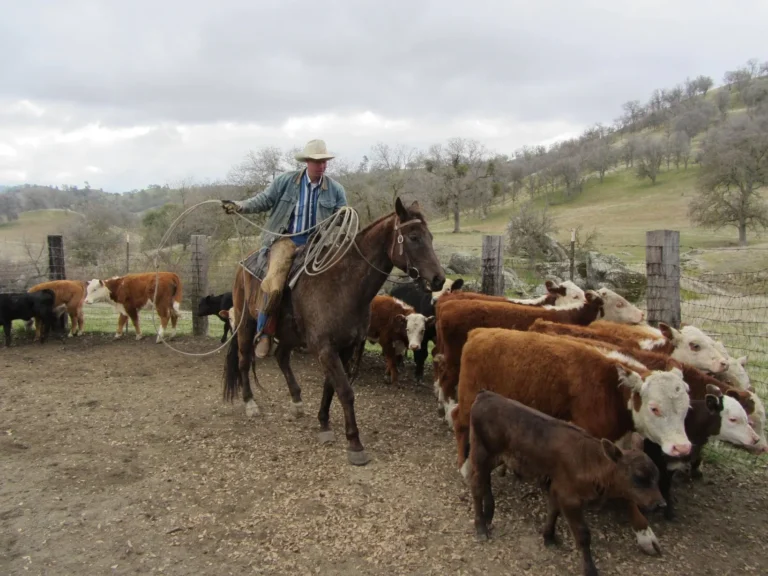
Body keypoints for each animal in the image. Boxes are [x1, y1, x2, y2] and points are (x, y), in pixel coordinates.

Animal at [222, 197, 444, 464]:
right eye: (413, 237)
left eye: (430, 236)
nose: (439, 279)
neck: (343, 286)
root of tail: (244, 263)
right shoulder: (326, 348)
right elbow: (345, 391)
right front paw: (355, 443)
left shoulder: (344, 347)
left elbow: (331, 386)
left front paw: (324, 423)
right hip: (245, 323)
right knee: (244, 360)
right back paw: (250, 403)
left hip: (289, 334)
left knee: (281, 357)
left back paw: (297, 402)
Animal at [468, 388, 664, 576]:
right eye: (639, 476)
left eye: (656, 476)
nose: (661, 504)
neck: (589, 461)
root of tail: (485, 394)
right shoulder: (569, 498)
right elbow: (583, 534)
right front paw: (590, 570)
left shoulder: (557, 489)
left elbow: (553, 511)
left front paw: (549, 537)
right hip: (481, 453)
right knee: (477, 486)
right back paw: (481, 527)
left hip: (495, 458)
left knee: (485, 481)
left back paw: (489, 513)